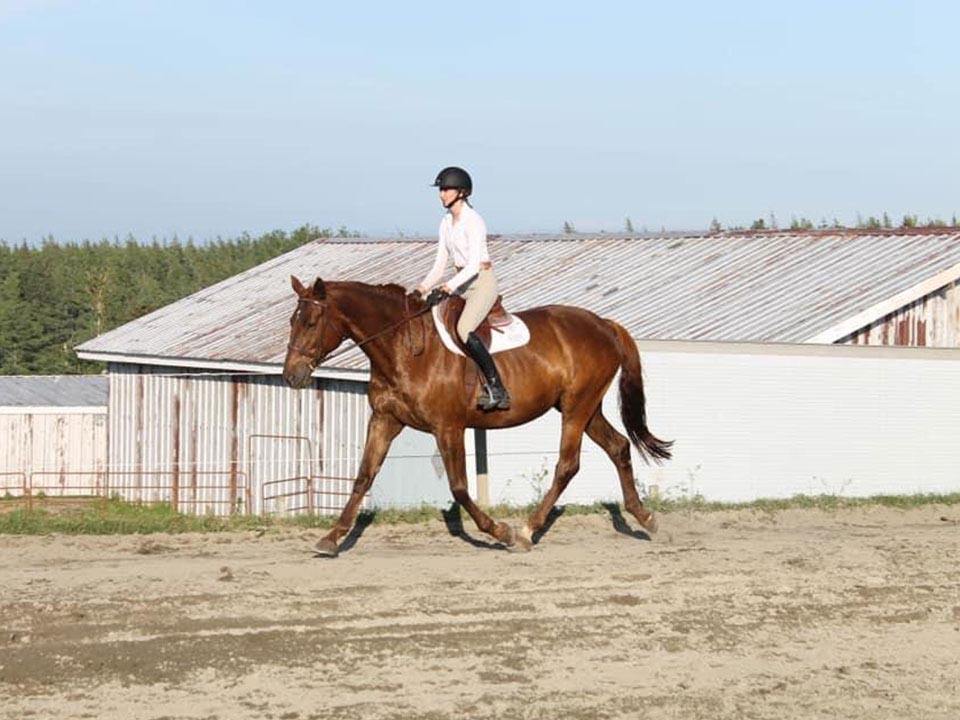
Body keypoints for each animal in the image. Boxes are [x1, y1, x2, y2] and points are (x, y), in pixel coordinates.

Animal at [282, 276, 672, 556]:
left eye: (312, 322)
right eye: (292, 321)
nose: (291, 375)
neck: (403, 347)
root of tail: (603, 324)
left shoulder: (448, 427)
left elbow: (459, 488)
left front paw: (501, 532)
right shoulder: (384, 420)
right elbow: (363, 477)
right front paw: (332, 538)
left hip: (578, 407)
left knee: (567, 465)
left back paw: (527, 531)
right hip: (583, 408)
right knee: (618, 447)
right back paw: (645, 517)